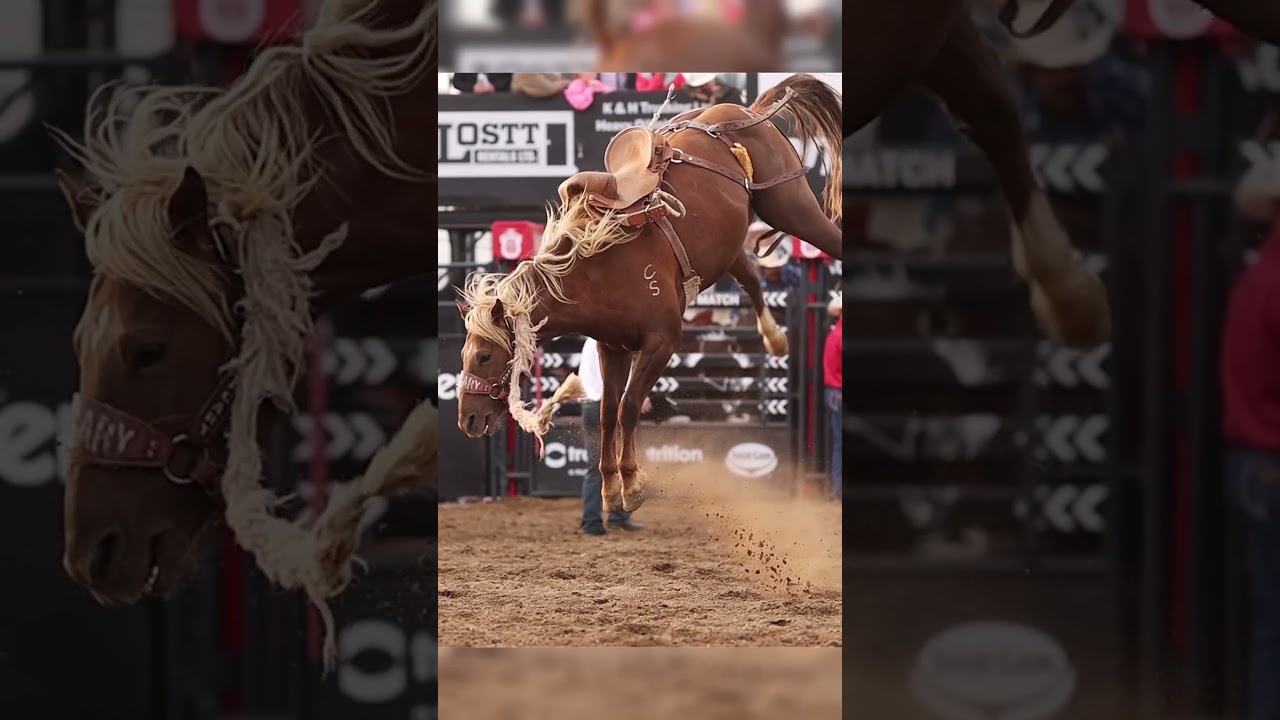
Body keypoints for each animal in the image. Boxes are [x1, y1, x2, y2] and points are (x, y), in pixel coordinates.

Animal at [454, 74, 842, 514]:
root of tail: (745, 110)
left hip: (791, 205)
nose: (467, 420)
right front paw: (610, 488)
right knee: (751, 278)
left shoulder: (662, 342)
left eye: (485, 356)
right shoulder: (613, 347)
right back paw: (775, 340)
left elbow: (627, 408)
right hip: (730, 244)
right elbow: (607, 411)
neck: (594, 268)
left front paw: (632, 484)